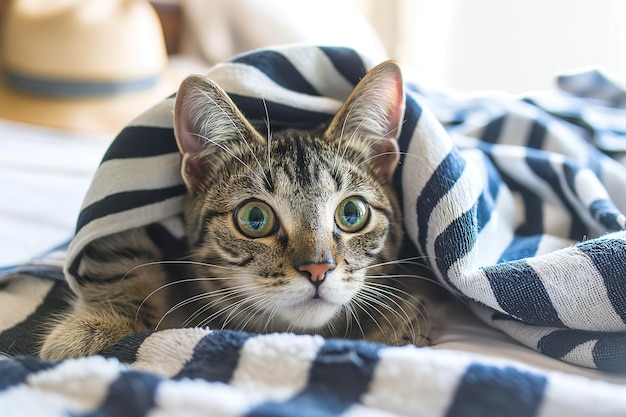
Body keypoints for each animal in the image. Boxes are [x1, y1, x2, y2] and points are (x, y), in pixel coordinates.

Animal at [40, 60, 438, 360]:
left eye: (352, 213)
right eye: (255, 219)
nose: (318, 268)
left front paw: (394, 326)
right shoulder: (125, 211)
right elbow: (121, 257)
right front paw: (100, 328)